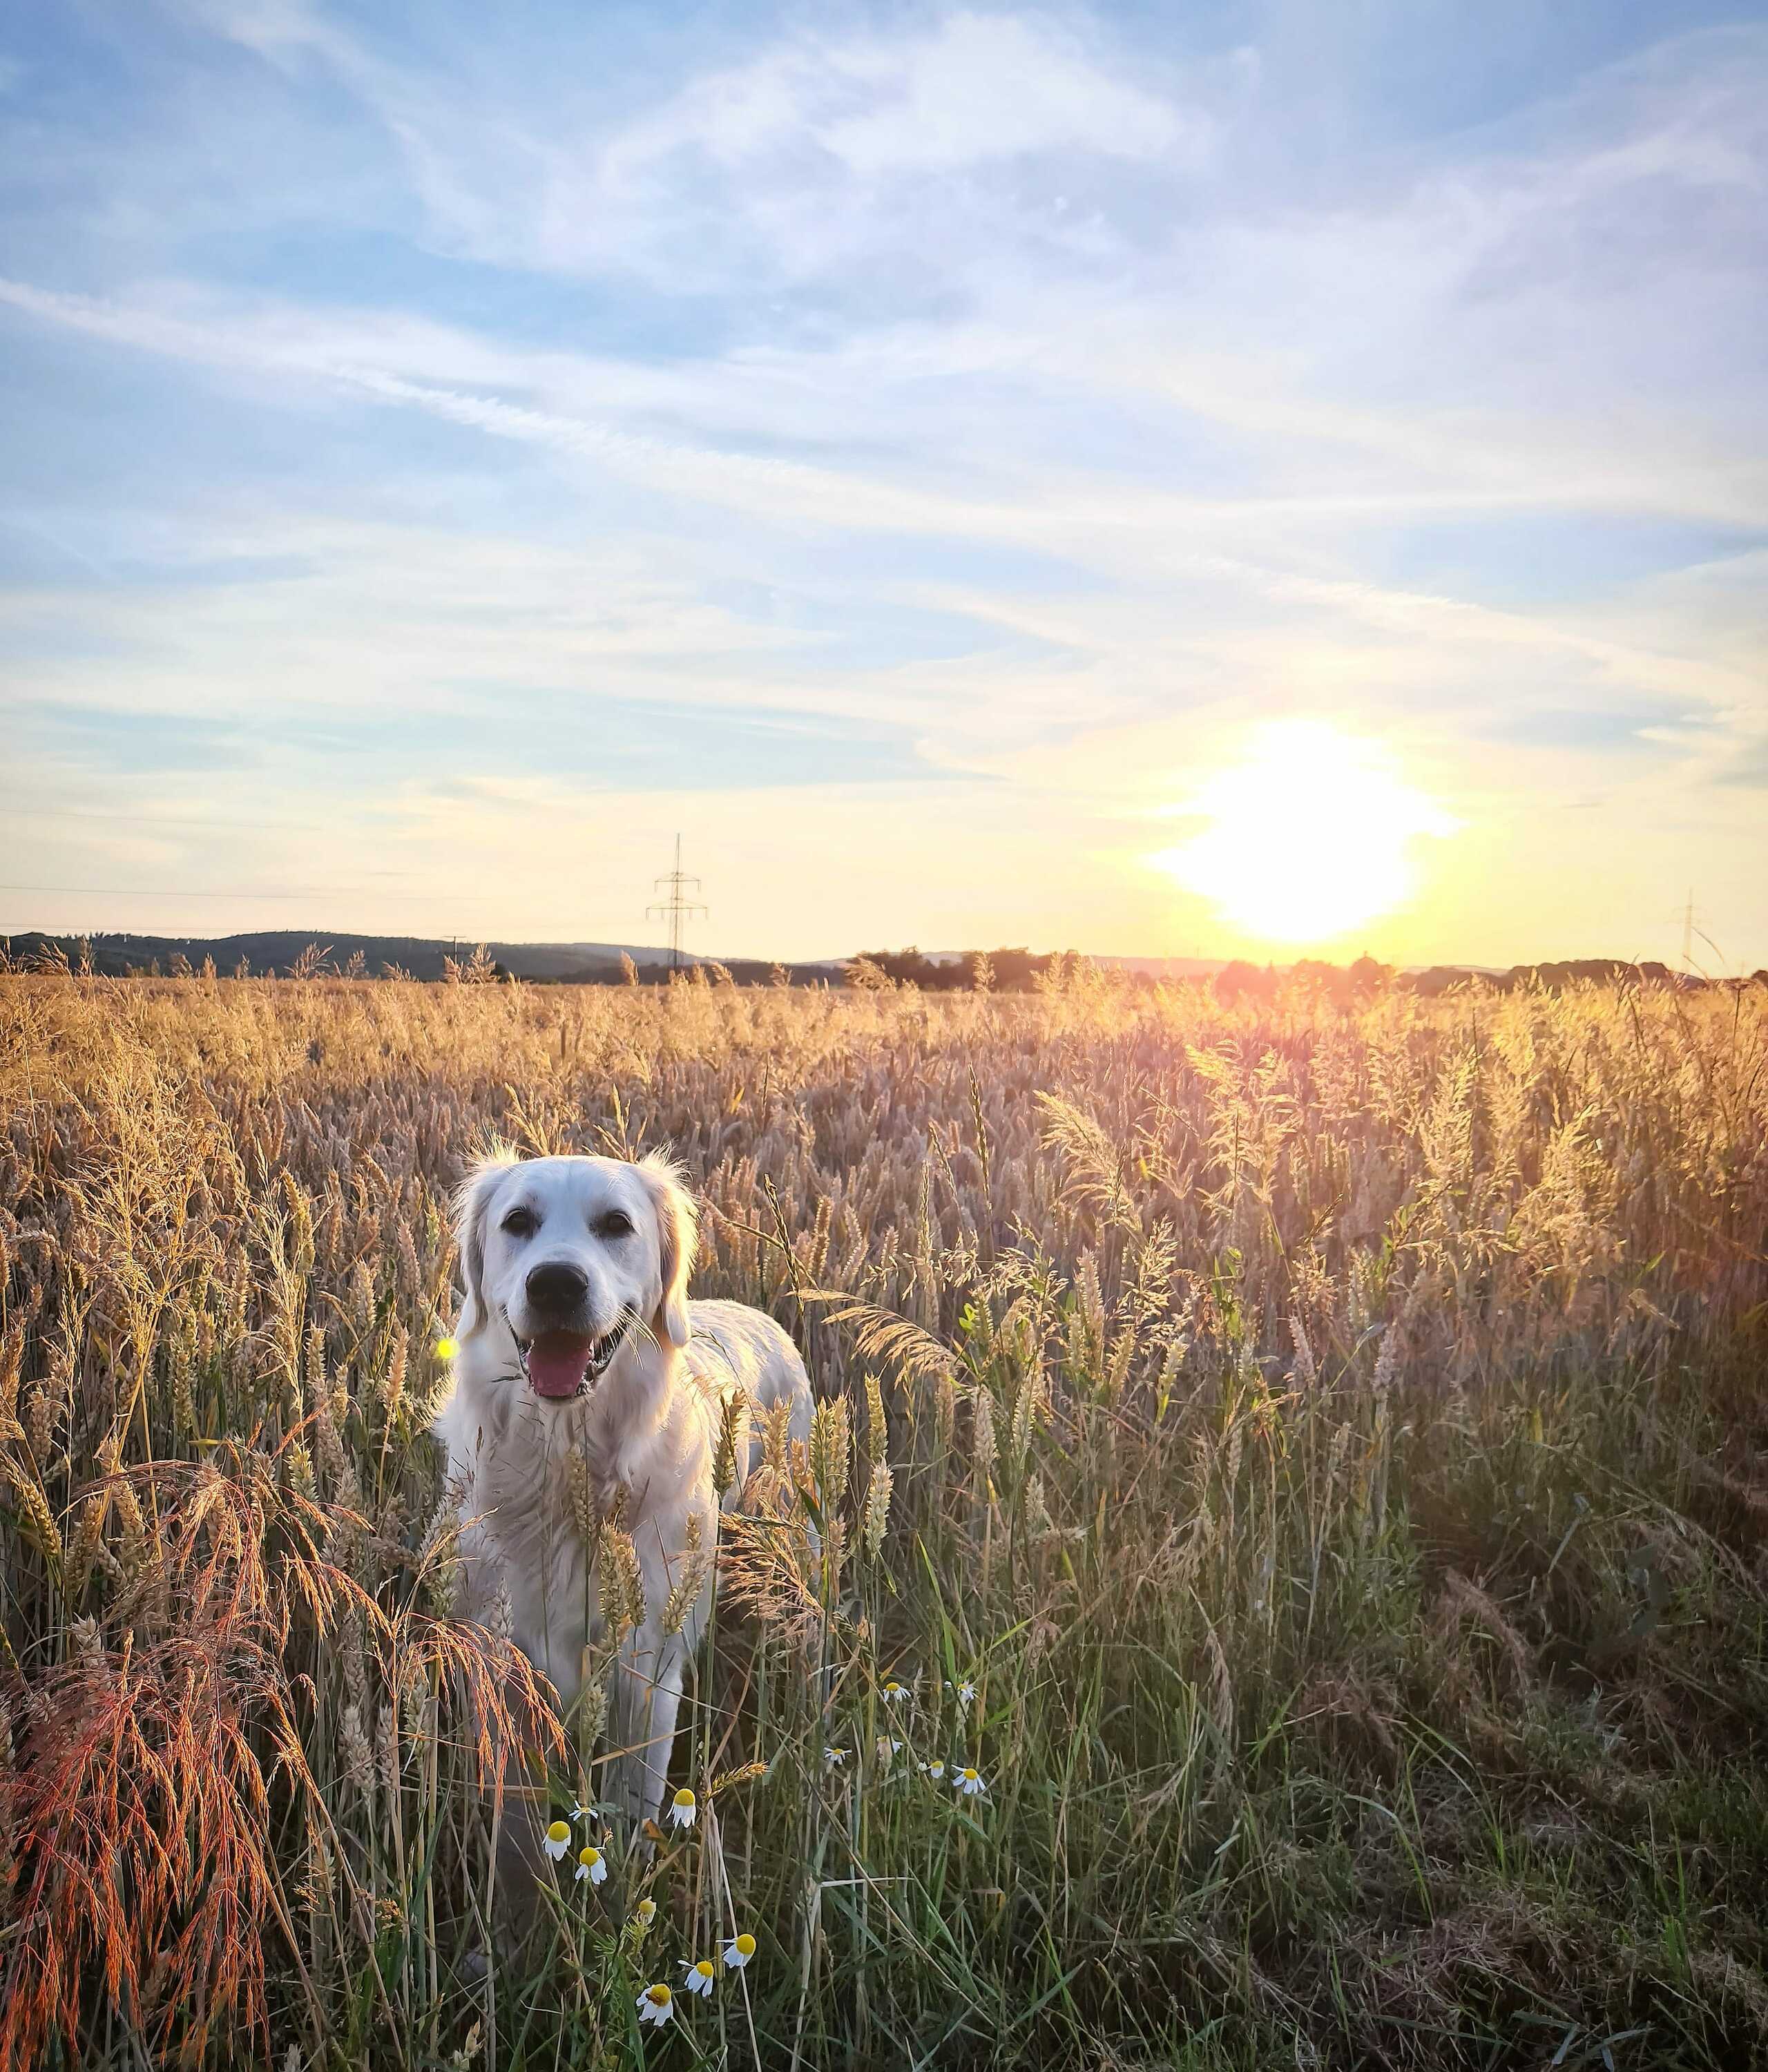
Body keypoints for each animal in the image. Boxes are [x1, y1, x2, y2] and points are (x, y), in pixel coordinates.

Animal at [435, 1152, 812, 1848]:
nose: (556, 1284)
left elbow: (632, 1806)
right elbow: (518, 1822)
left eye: (616, 1224)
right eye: (518, 1221)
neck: (568, 1467)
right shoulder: (504, 1661)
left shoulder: (649, 1668)